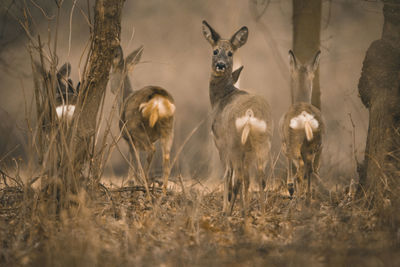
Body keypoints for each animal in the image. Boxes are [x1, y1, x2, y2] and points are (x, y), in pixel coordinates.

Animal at [109, 45, 175, 194]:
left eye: (110, 75)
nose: (110, 88)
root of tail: (157, 98)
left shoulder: (129, 138)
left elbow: (133, 165)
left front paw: (131, 184)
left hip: (137, 127)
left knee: (151, 150)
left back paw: (145, 183)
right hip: (168, 126)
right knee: (167, 158)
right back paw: (162, 191)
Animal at [202, 21, 274, 218]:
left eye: (230, 53)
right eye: (215, 51)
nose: (220, 65)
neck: (221, 98)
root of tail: (250, 114)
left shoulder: (220, 142)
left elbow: (228, 176)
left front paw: (226, 207)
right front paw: (241, 207)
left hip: (235, 143)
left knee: (238, 176)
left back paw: (232, 212)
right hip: (263, 142)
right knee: (260, 177)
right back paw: (259, 213)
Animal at [278, 50, 324, 202]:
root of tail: (306, 120)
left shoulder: (284, 142)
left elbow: (288, 160)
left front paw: (290, 187)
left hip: (294, 142)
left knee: (301, 168)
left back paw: (297, 196)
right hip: (316, 144)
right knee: (310, 169)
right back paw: (308, 196)